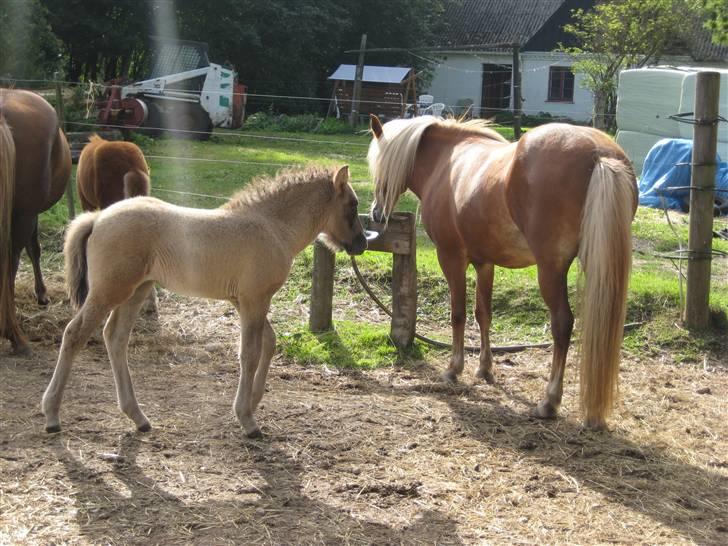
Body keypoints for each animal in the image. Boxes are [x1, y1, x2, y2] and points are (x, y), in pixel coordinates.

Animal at [0, 88, 72, 352]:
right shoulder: (30, 214)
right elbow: (35, 249)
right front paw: (42, 294)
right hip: (24, 215)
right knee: (10, 263)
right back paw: (14, 335)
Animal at [42, 164, 366, 436]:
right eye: (352, 205)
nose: (362, 244)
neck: (272, 226)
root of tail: (98, 217)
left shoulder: (244, 301)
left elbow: (268, 343)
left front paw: (253, 401)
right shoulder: (254, 299)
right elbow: (249, 353)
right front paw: (247, 418)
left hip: (137, 290)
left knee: (115, 337)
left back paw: (138, 417)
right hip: (111, 289)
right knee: (75, 333)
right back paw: (52, 414)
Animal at [370, 116, 636, 430]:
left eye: (379, 164)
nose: (376, 214)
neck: (444, 161)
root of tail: (600, 154)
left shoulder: (451, 257)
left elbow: (457, 314)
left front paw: (454, 369)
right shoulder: (485, 263)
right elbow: (483, 314)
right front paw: (484, 369)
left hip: (550, 271)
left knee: (562, 324)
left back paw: (549, 402)